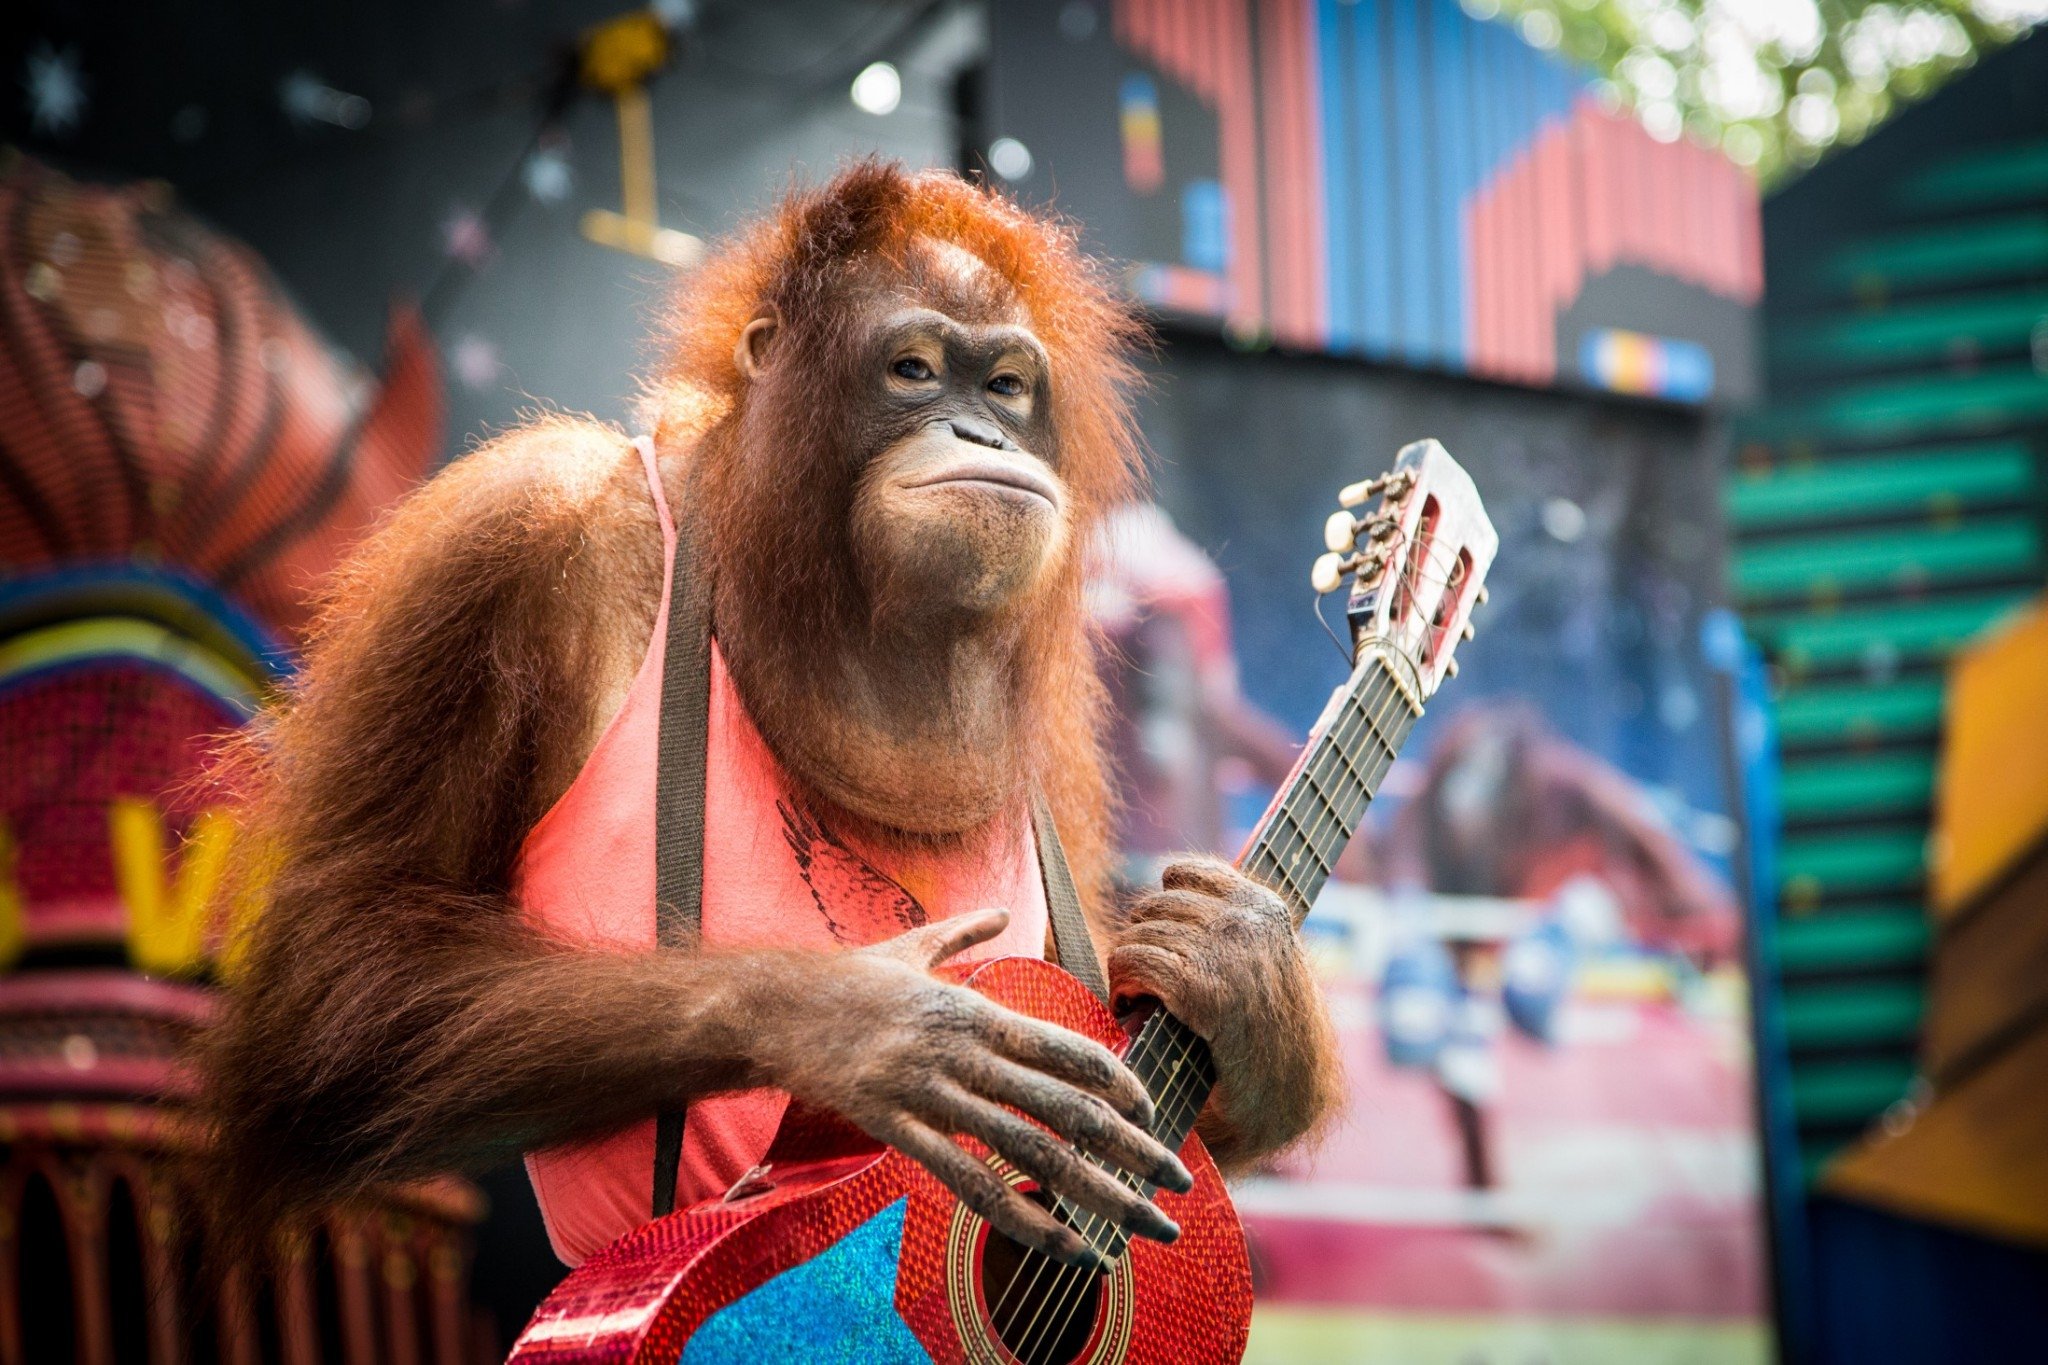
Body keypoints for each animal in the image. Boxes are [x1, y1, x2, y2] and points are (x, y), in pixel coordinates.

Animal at [200, 163, 1344, 1273]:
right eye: (914, 370)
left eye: (1007, 387)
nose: (980, 429)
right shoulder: (506, 538)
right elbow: (349, 959)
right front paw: (873, 1024)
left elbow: (1138, 1070)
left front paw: (1245, 980)